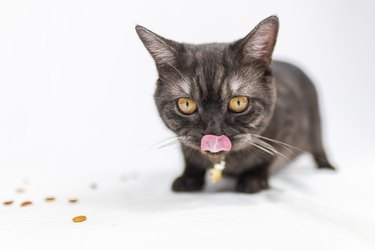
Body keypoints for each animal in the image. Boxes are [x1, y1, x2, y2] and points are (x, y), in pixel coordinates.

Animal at [136, 15, 334, 194]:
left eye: (238, 102)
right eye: (186, 104)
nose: (212, 131)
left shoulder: (287, 127)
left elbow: (269, 157)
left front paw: (253, 179)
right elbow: (189, 158)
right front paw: (189, 178)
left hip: (316, 128)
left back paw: (328, 168)